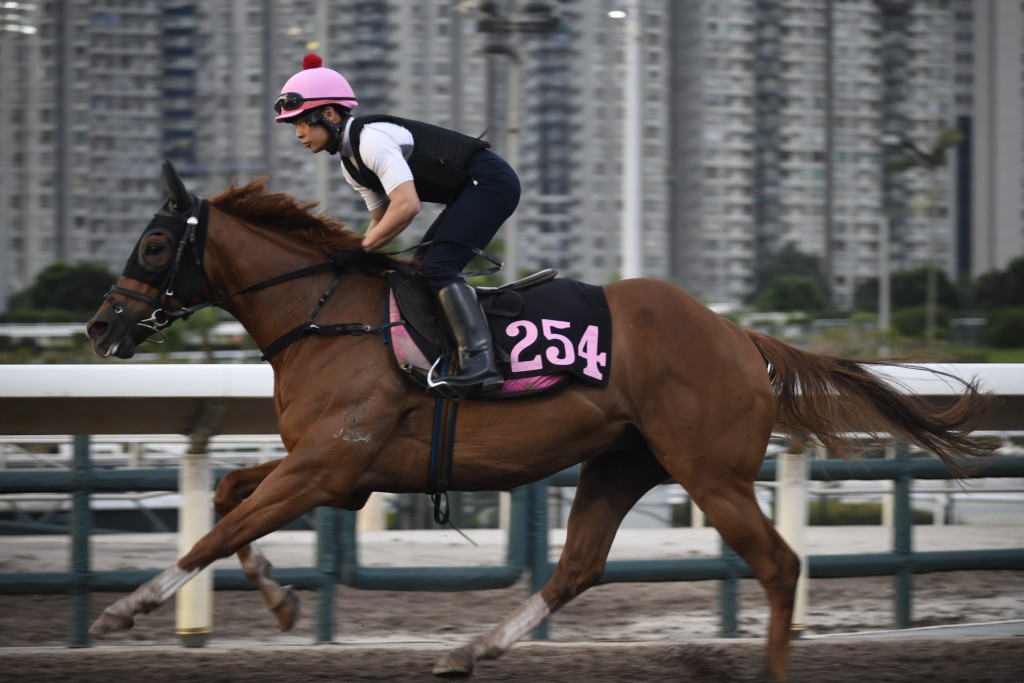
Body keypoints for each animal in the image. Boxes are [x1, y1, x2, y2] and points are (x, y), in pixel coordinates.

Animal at [83, 160, 995, 679]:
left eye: (155, 246)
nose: (99, 326)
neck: (328, 316)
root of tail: (739, 334)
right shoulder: (336, 472)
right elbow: (229, 500)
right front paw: (277, 602)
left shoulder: (327, 466)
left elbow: (215, 531)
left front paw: (125, 609)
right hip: (622, 461)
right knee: (578, 566)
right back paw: (468, 649)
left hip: (710, 469)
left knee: (778, 563)